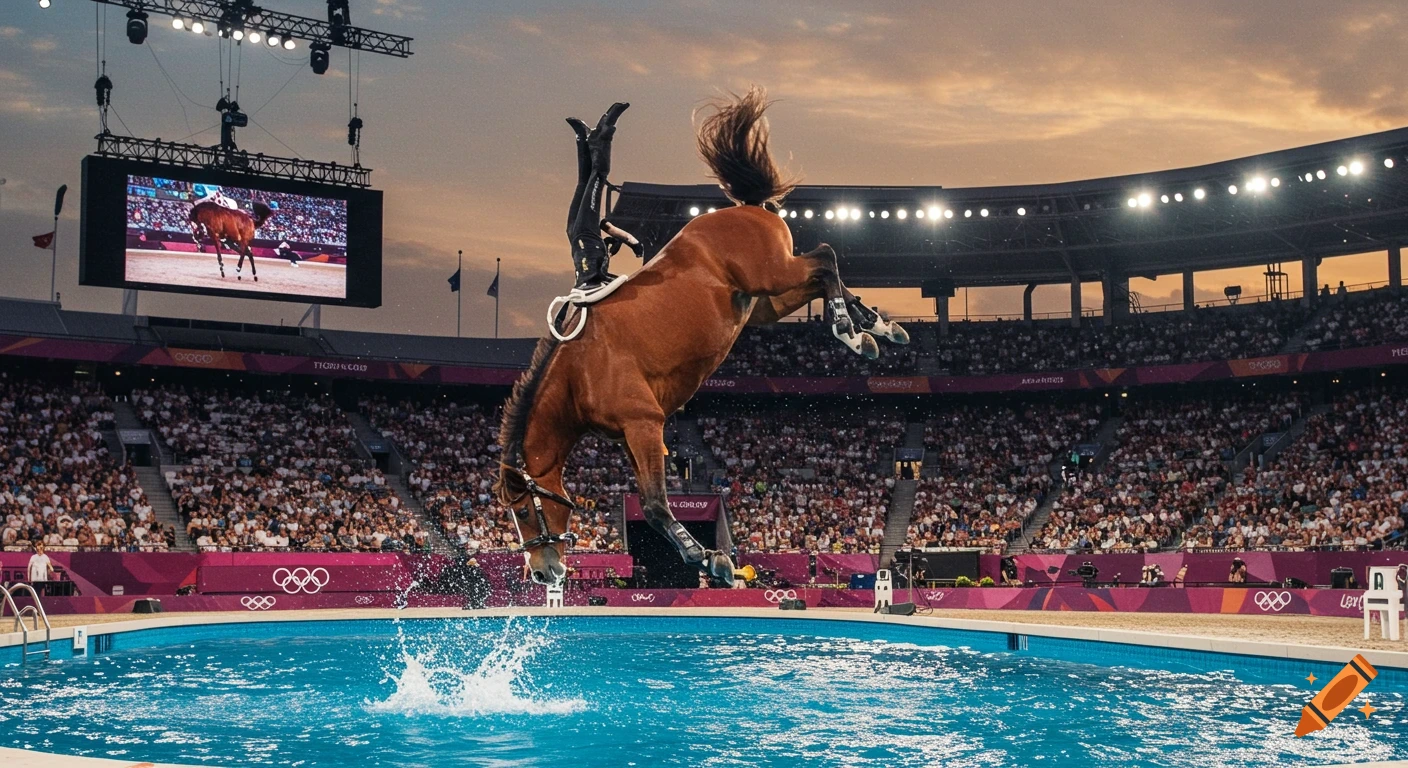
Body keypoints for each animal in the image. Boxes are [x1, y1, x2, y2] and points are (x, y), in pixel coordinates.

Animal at [494, 87, 909, 588]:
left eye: (523, 511)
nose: (540, 572)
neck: (579, 373)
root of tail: (747, 207)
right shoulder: (634, 433)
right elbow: (651, 499)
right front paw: (709, 555)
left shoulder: (643, 423)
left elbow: (655, 506)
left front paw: (709, 558)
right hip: (764, 303)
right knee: (822, 276)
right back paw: (878, 328)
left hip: (772, 274)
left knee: (825, 258)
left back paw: (850, 331)